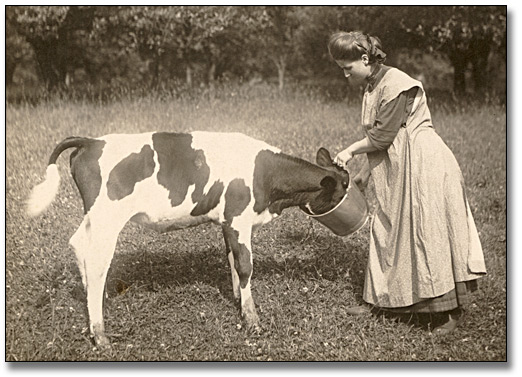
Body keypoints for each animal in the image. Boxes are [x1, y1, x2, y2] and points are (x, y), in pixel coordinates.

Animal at [26, 131, 348, 348]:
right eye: (344, 186)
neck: (266, 176)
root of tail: (91, 141)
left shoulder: (226, 221)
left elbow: (232, 260)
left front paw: (237, 300)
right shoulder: (238, 217)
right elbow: (245, 265)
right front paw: (252, 320)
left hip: (95, 218)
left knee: (79, 245)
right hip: (108, 218)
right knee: (96, 262)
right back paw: (100, 333)